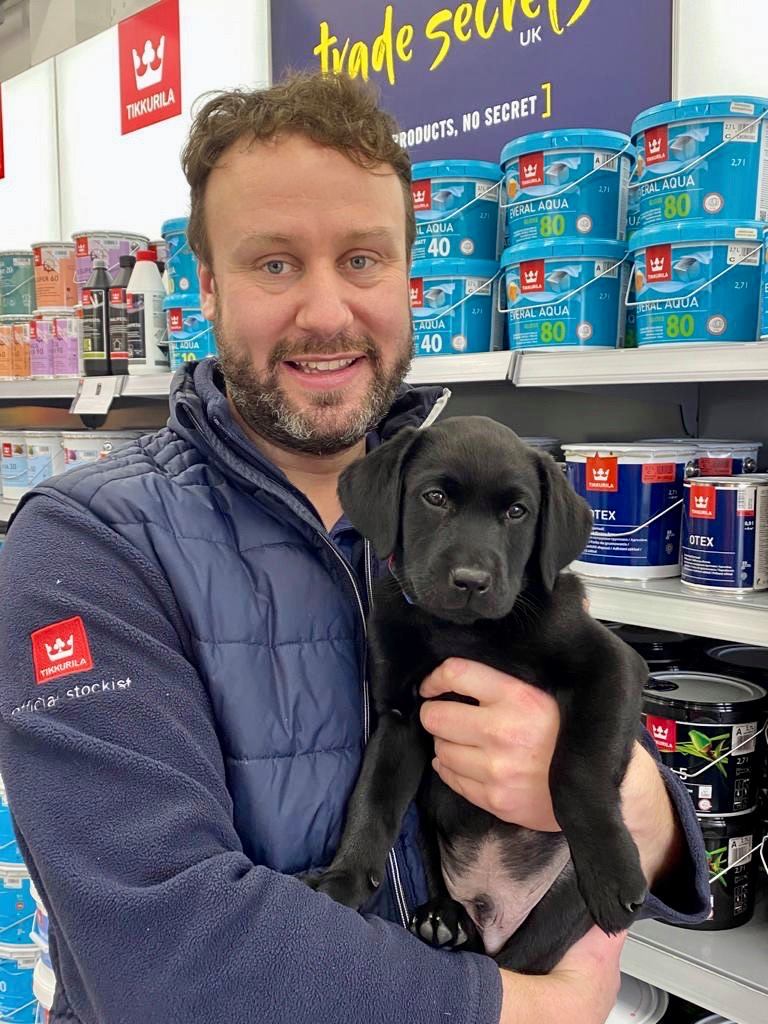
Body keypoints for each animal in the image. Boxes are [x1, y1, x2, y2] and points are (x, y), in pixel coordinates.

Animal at [309, 413, 651, 966]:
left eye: (517, 511)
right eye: (434, 498)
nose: (471, 581)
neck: (462, 631)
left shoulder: (613, 667)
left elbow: (574, 771)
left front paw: (612, 870)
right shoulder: (400, 718)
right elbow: (372, 800)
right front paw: (344, 879)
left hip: (557, 908)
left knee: (513, 965)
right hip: (428, 830)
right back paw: (444, 918)